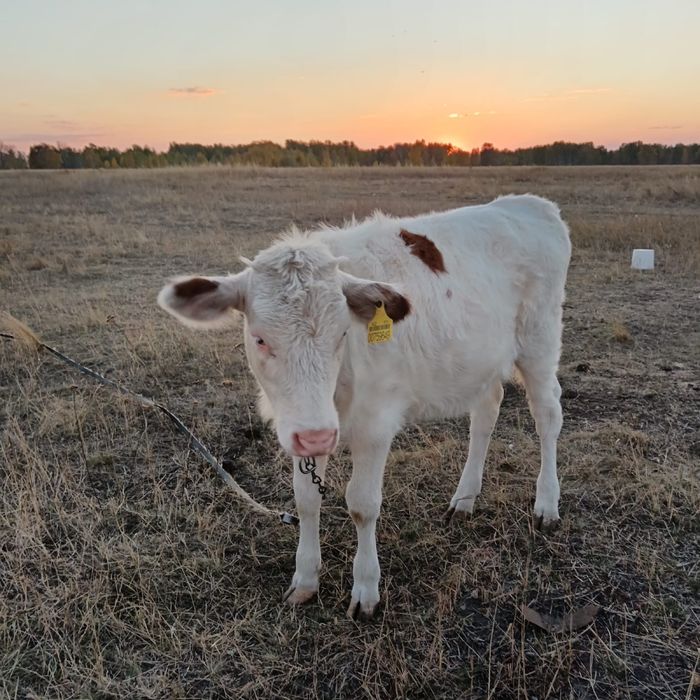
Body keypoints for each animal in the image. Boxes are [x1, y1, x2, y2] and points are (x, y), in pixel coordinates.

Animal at [158, 194, 571, 620]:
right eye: (259, 338)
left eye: (342, 333)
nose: (317, 435)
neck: (340, 385)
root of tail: (530, 204)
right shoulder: (302, 425)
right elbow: (306, 498)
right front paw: (305, 578)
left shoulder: (374, 425)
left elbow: (362, 504)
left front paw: (366, 587)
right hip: (482, 360)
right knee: (486, 412)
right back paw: (464, 498)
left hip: (540, 341)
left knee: (547, 416)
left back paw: (546, 503)